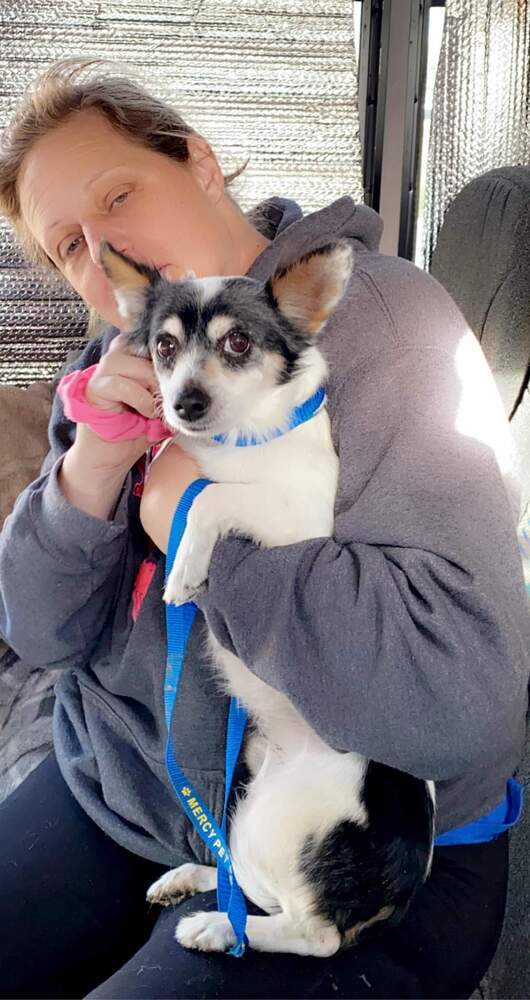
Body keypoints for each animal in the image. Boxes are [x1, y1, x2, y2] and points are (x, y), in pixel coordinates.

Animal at [101, 238, 432, 956]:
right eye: (164, 348)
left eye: (239, 343)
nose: (185, 404)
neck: (234, 439)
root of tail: (404, 883)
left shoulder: (302, 523)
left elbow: (211, 496)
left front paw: (185, 563)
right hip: (253, 787)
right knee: (243, 880)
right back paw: (189, 882)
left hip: (279, 821)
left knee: (311, 934)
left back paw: (213, 927)